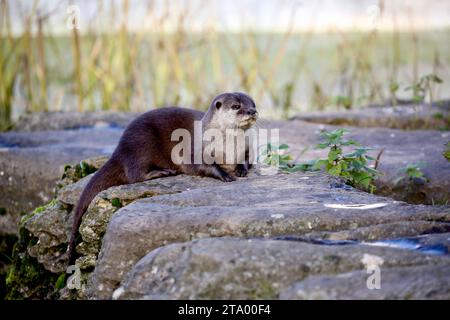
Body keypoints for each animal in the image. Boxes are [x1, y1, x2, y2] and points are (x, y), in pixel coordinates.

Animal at [65, 92, 258, 262]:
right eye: (236, 106)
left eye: (253, 104)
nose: (252, 111)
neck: (228, 147)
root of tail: (118, 151)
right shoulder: (194, 151)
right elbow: (204, 166)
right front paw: (224, 174)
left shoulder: (248, 147)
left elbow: (247, 160)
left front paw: (241, 169)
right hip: (141, 144)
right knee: (134, 174)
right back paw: (162, 172)